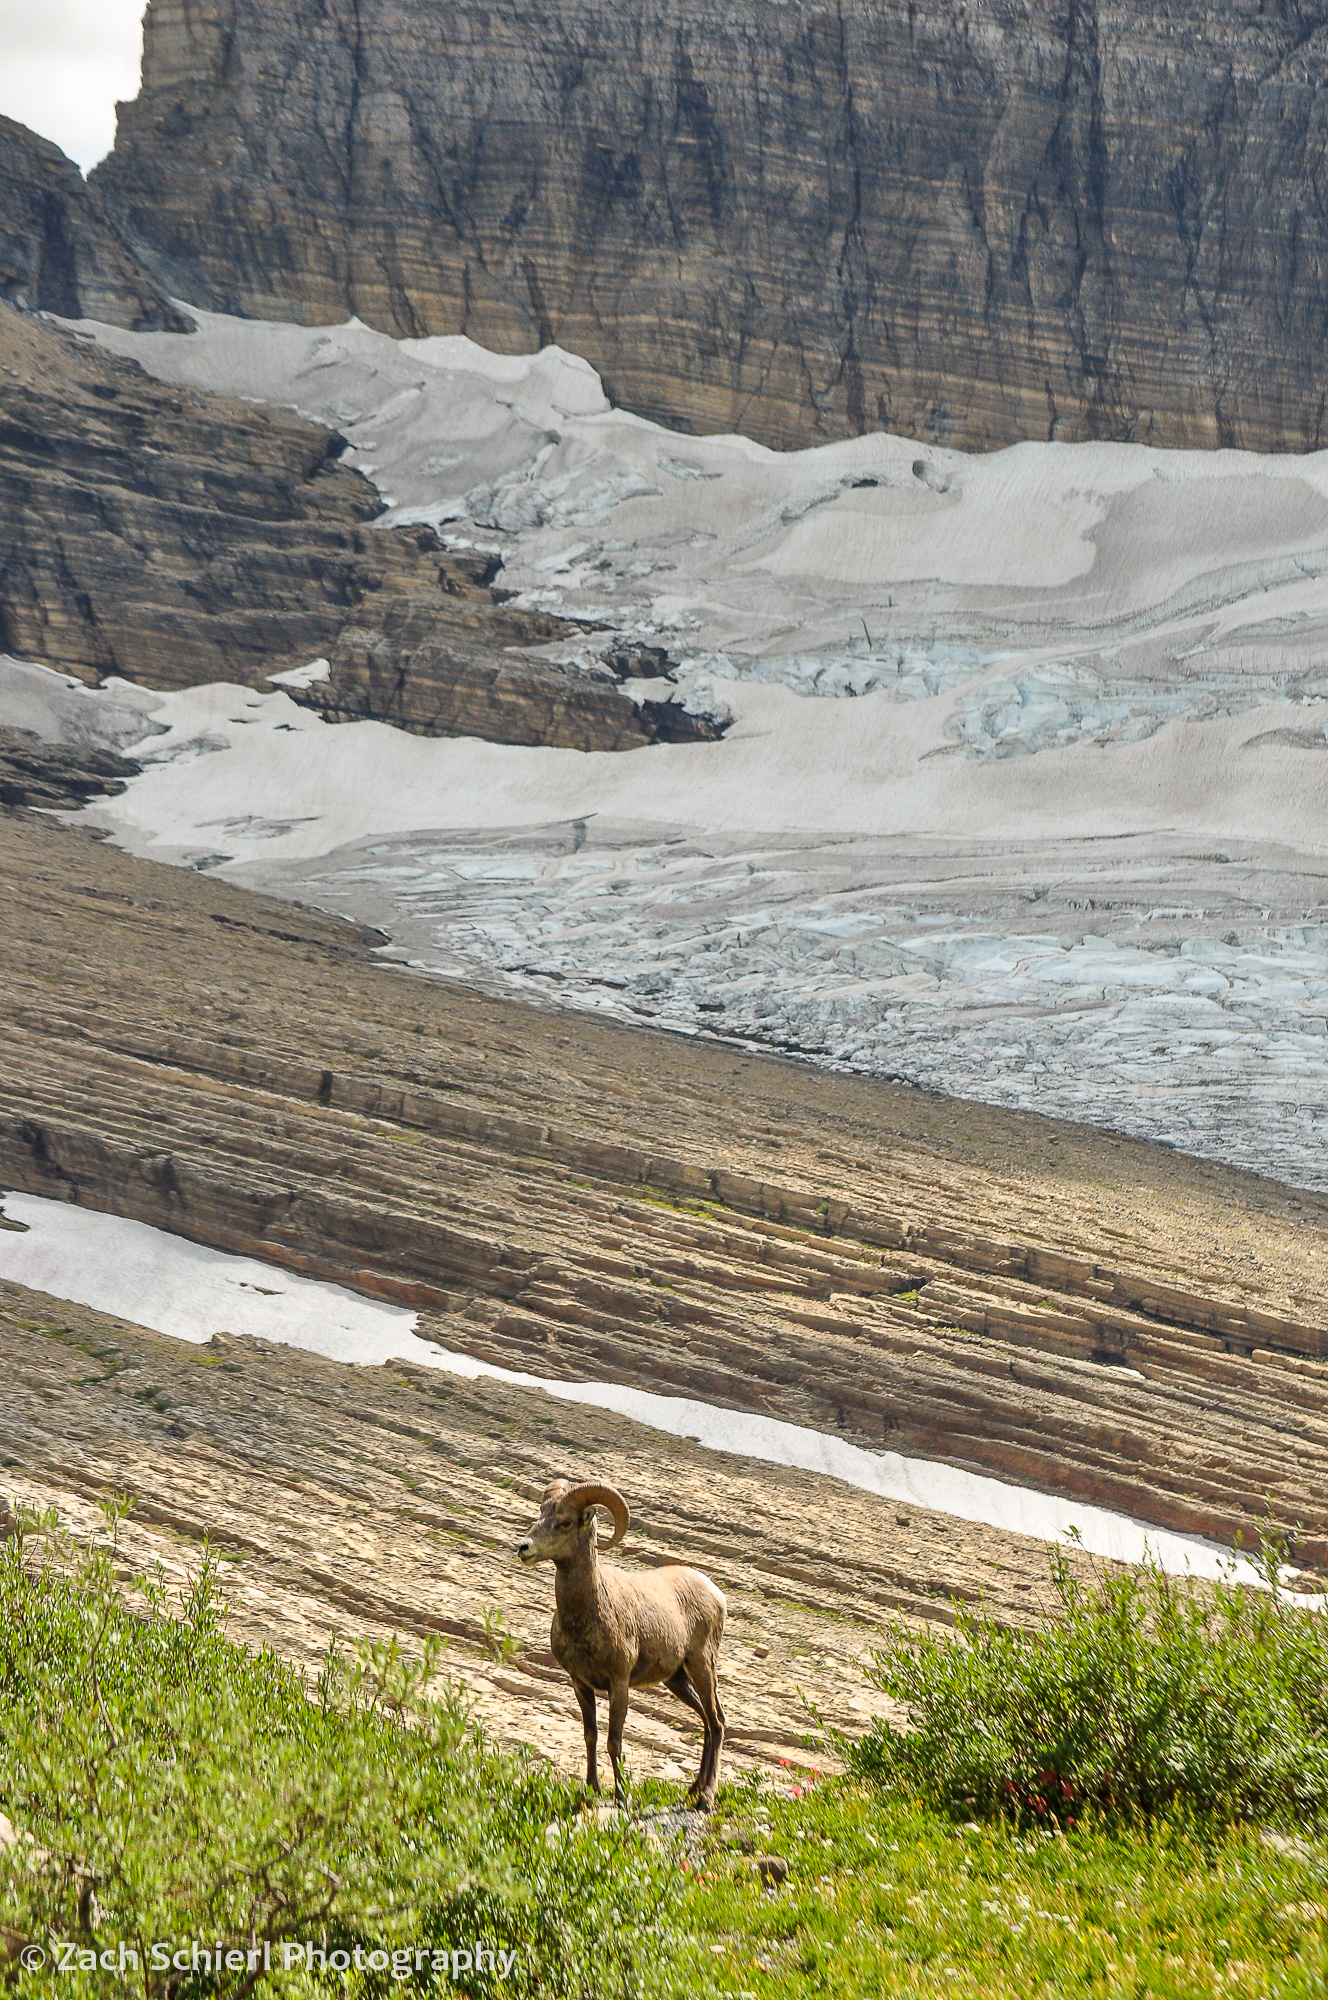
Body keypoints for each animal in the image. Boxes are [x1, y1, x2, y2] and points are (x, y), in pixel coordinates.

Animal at [517, 1476, 727, 1808]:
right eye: (541, 1513)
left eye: (565, 1522)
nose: (524, 1548)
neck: (588, 1614)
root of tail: (717, 1594)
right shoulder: (580, 1683)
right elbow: (590, 1735)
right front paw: (591, 1791)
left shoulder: (619, 1684)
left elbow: (614, 1741)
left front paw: (621, 1797)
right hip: (676, 1679)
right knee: (707, 1722)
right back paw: (692, 1791)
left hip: (702, 1666)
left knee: (716, 1722)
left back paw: (705, 1797)